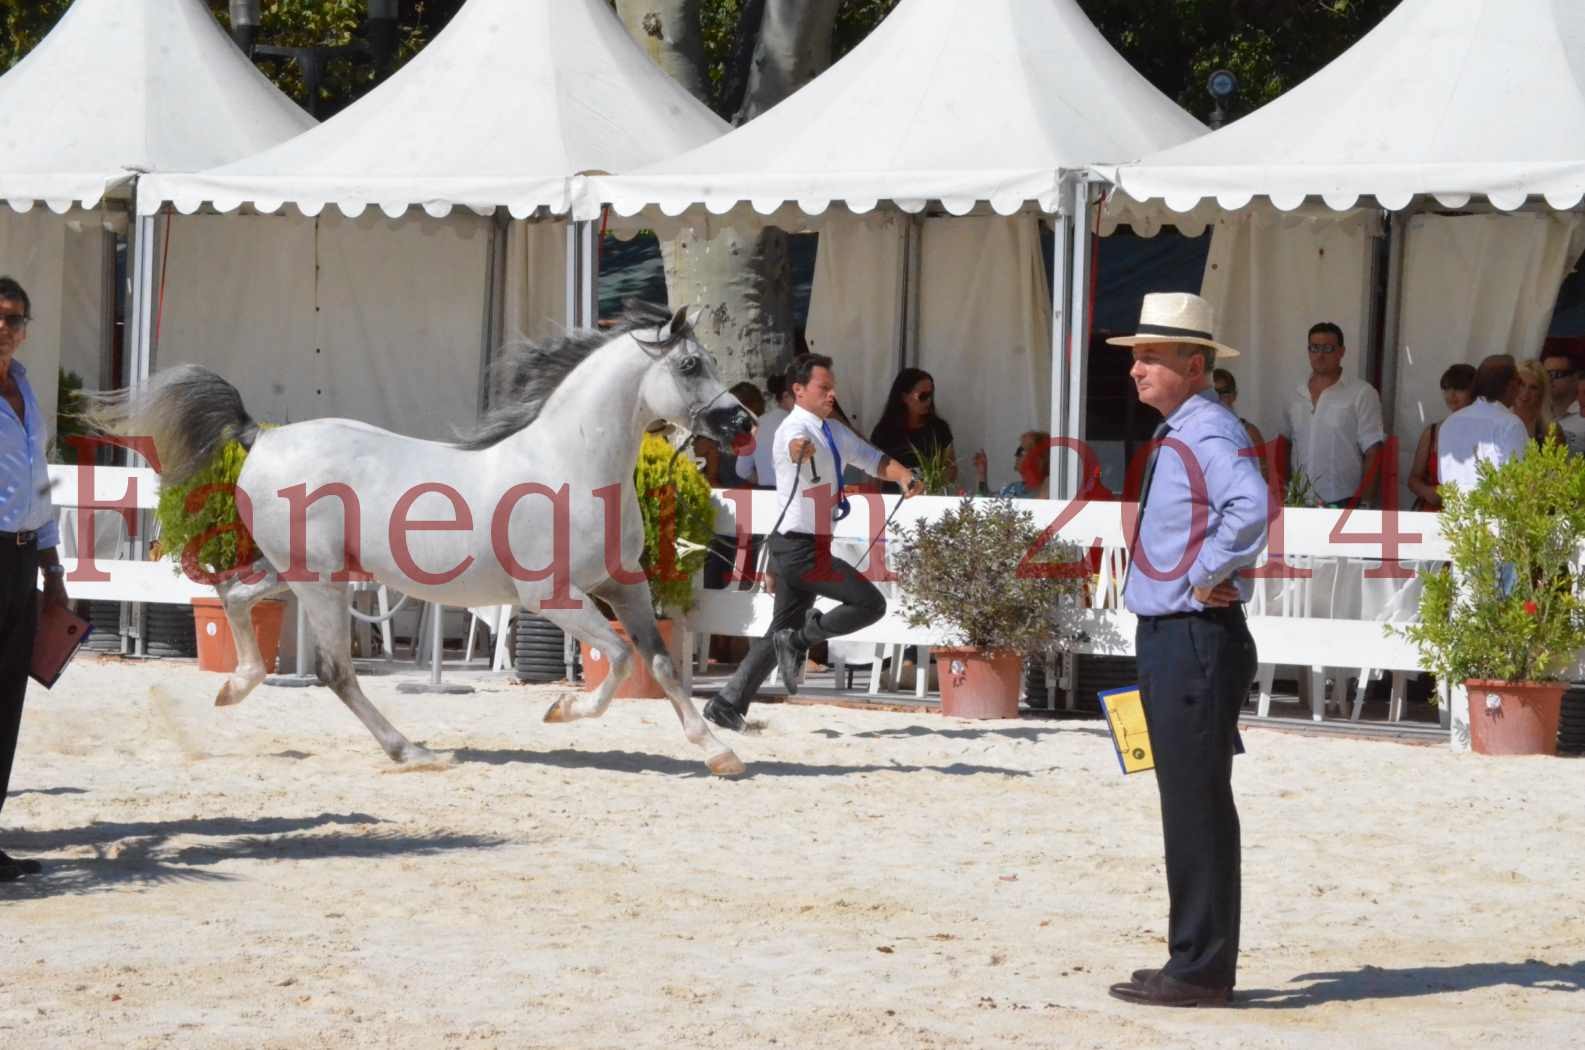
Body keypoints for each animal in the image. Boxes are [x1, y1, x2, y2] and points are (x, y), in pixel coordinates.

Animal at [97, 299, 760, 777]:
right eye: (690, 365)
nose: (743, 422)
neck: (571, 462)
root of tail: (261, 435)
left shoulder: (626, 587)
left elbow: (661, 663)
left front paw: (720, 753)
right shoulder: (552, 598)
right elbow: (620, 661)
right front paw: (561, 709)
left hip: (306, 573)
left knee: (233, 598)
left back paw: (235, 689)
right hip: (318, 582)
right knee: (335, 671)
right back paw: (411, 751)